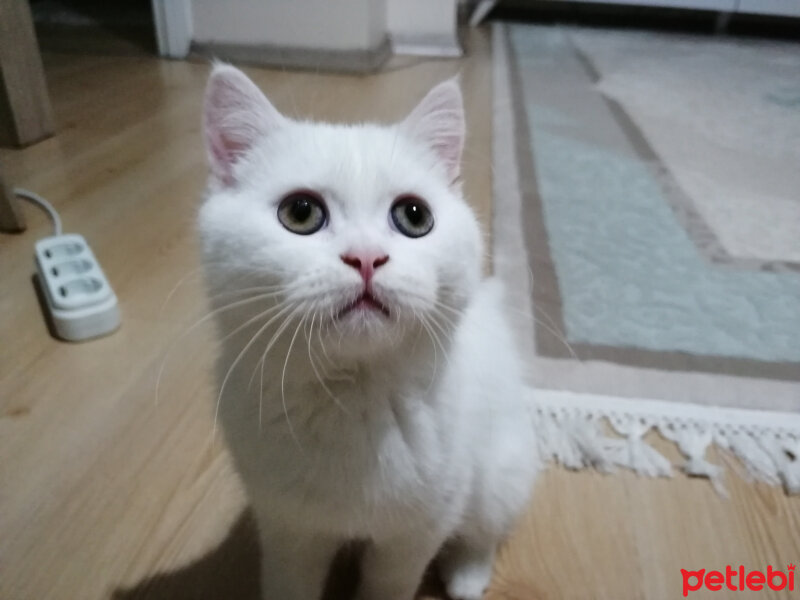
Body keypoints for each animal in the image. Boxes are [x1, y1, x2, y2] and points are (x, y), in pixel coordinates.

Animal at [198, 65, 536, 600]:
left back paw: (467, 576)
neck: (353, 398)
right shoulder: (288, 529)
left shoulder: (416, 533)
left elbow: (388, 583)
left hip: (499, 473)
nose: (366, 257)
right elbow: (290, 583)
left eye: (415, 216)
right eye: (300, 213)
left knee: (485, 531)